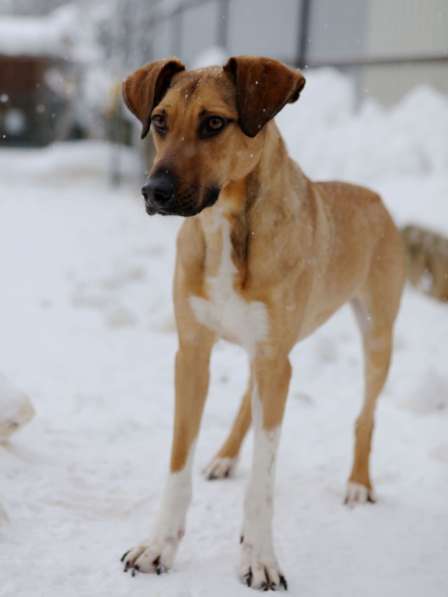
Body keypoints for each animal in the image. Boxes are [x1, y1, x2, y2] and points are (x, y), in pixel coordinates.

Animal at [121, 57, 408, 592]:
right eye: (161, 121)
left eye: (215, 123)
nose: (154, 192)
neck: (225, 228)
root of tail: (373, 196)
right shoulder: (193, 352)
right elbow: (178, 463)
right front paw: (158, 547)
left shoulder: (276, 360)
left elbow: (263, 479)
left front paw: (259, 559)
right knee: (245, 401)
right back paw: (226, 455)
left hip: (377, 334)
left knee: (366, 413)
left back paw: (359, 483)